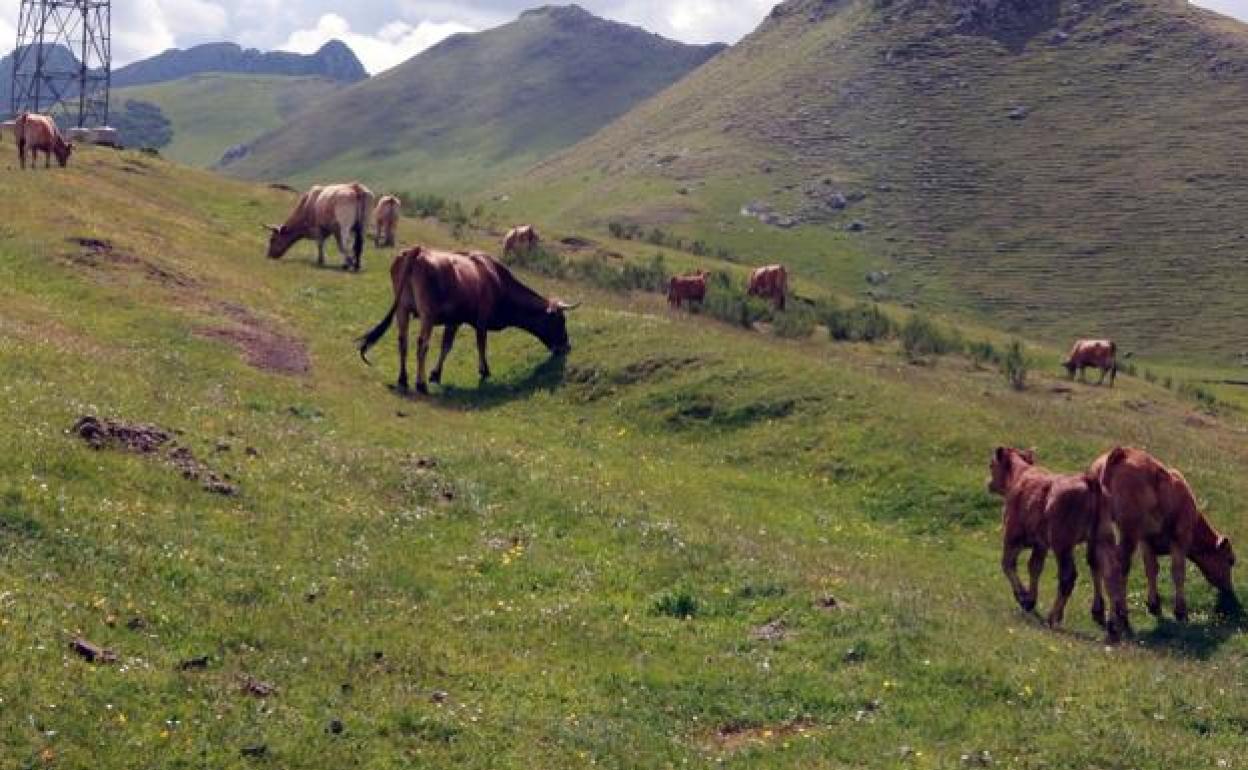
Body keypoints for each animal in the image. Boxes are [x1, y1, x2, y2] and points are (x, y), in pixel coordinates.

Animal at [356, 245, 579, 394]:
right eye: (560, 321)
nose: (567, 346)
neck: (498, 281)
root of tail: (417, 250)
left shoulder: (454, 320)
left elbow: (446, 346)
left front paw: (436, 373)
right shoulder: (482, 320)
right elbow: (481, 344)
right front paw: (484, 370)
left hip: (402, 309)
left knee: (403, 341)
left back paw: (403, 379)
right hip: (428, 314)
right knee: (422, 344)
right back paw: (420, 384)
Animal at [988, 444, 1128, 643]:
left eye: (991, 465)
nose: (989, 484)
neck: (1020, 475)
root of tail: (1089, 479)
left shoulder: (1012, 536)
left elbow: (1007, 564)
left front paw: (1022, 597)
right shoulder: (1041, 545)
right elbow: (1034, 567)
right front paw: (1030, 599)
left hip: (1063, 544)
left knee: (1068, 576)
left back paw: (1053, 617)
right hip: (1102, 539)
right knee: (1112, 574)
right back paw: (1114, 626)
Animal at [1093, 444, 1238, 623]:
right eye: (1230, 560)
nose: (1229, 589)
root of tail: (1121, 452)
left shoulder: (1146, 541)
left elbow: (1151, 569)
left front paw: (1153, 603)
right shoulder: (1180, 539)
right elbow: (1178, 572)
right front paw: (1180, 610)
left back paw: (1098, 608)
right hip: (1128, 530)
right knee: (1119, 565)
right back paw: (1121, 611)